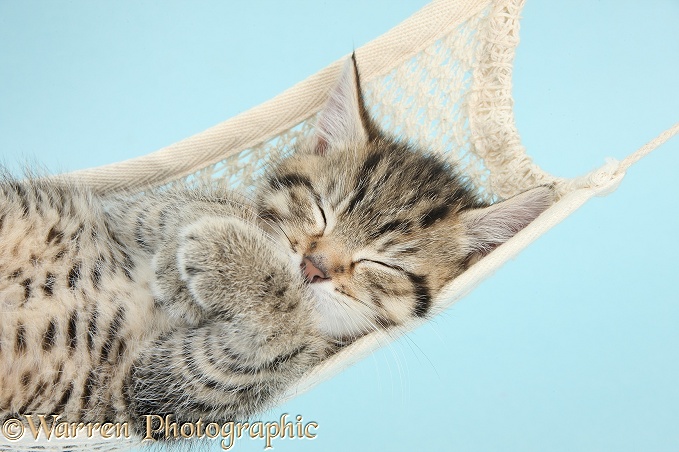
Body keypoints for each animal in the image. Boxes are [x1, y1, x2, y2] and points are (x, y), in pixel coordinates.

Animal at [0, 54, 552, 440]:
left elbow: (278, 335)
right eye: (322, 210)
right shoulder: (121, 211)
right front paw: (191, 259)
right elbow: (179, 204)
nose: (313, 267)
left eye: (383, 263)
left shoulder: (158, 391)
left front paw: (219, 263)